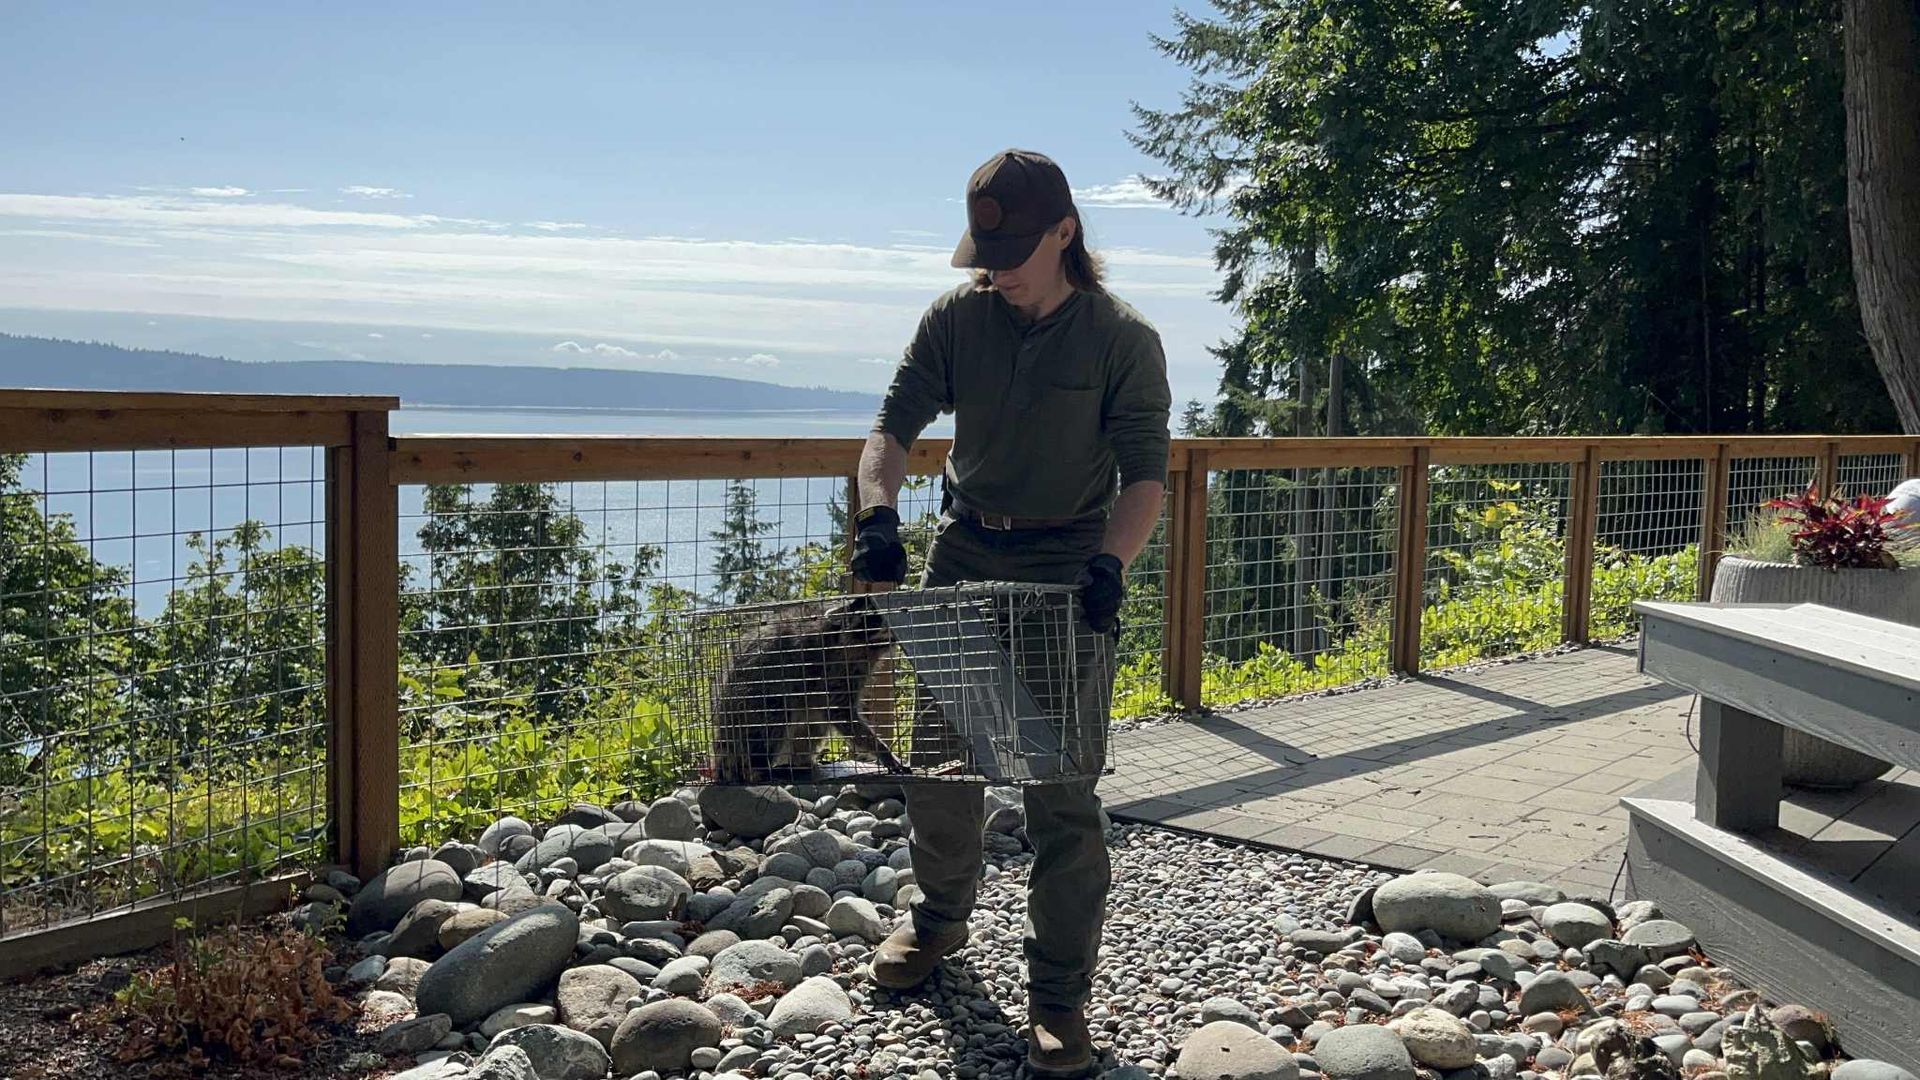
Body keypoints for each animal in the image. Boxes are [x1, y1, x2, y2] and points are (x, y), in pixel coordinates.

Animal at [709, 595, 908, 784]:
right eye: (876, 614)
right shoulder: (832, 668)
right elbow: (840, 713)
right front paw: (882, 750)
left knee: (811, 724)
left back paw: (800, 762)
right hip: (753, 697)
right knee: (772, 720)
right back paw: (758, 769)